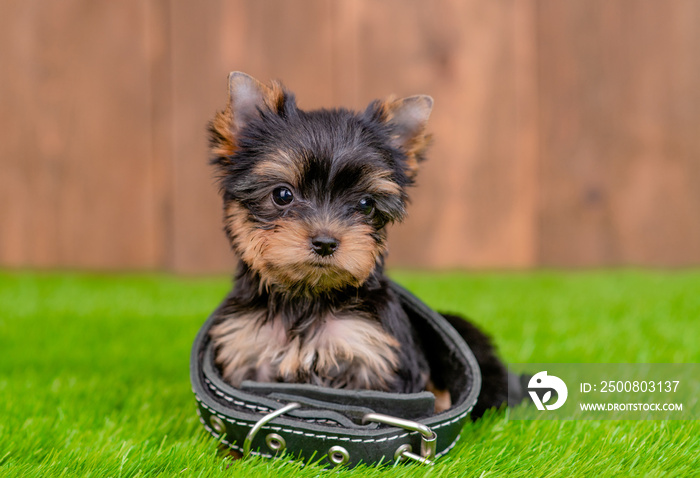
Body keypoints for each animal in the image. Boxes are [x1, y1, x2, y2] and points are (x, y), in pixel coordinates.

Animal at [206, 72, 508, 418]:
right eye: (282, 195)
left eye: (366, 204)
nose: (325, 242)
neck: (307, 297)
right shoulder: (247, 352)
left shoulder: (371, 354)